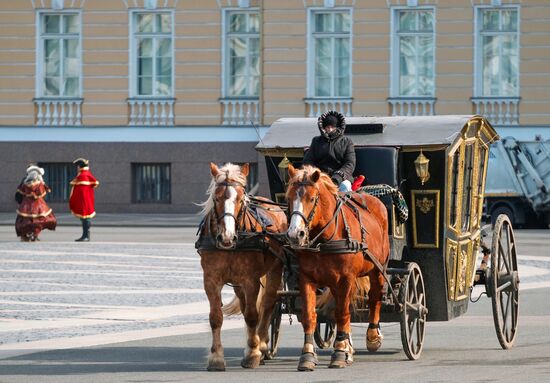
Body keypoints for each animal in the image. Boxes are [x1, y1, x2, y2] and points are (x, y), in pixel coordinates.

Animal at [196, 163, 286, 372]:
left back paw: (262, 345)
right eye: (217, 198)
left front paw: (253, 353)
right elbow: (216, 317)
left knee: (268, 305)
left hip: (274, 271)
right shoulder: (211, 280)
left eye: (240, 199)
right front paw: (216, 358)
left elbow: (253, 316)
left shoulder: (250, 280)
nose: (227, 237)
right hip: (238, 285)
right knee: (247, 308)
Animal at [286, 166, 390, 372]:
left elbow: (342, 314)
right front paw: (308, 355)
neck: (323, 240)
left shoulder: (345, 278)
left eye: (312, 198)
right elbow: (310, 316)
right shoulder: (306, 278)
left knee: (375, 297)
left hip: (377, 269)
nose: (295, 234)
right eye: (289, 198)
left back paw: (373, 337)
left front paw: (340, 352)